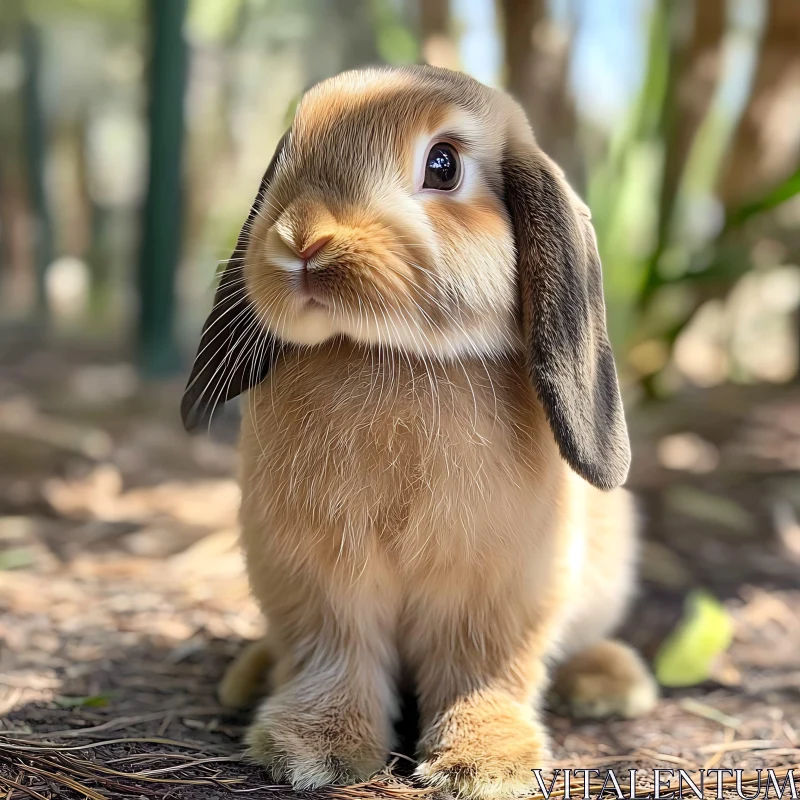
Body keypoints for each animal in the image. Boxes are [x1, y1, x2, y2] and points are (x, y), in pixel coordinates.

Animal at [181, 64, 656, 800]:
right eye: (290, 154)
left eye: (443, 165)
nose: (303, 240)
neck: (385, 355)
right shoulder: (322, 581)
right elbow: (333, 656)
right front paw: (310, 751)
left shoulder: (497, 591)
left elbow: (484, 672)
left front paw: (484, 764)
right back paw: (249, 677)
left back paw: (610, 683)